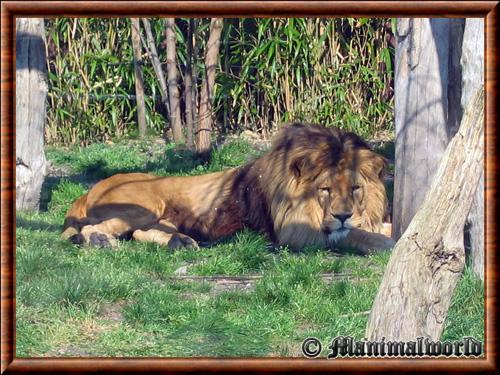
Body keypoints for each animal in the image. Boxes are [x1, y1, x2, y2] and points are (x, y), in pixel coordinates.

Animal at [61, 123, 394, 256]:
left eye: (356, 188)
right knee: (91, 229)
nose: (343, 215)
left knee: (141, 234)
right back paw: (101, 241)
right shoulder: (295, 233)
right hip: (144, 205)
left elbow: (378, 226)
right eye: (324, 189)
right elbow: (352, 235)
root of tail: (91, 188)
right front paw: (382, 243)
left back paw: (181, 242)